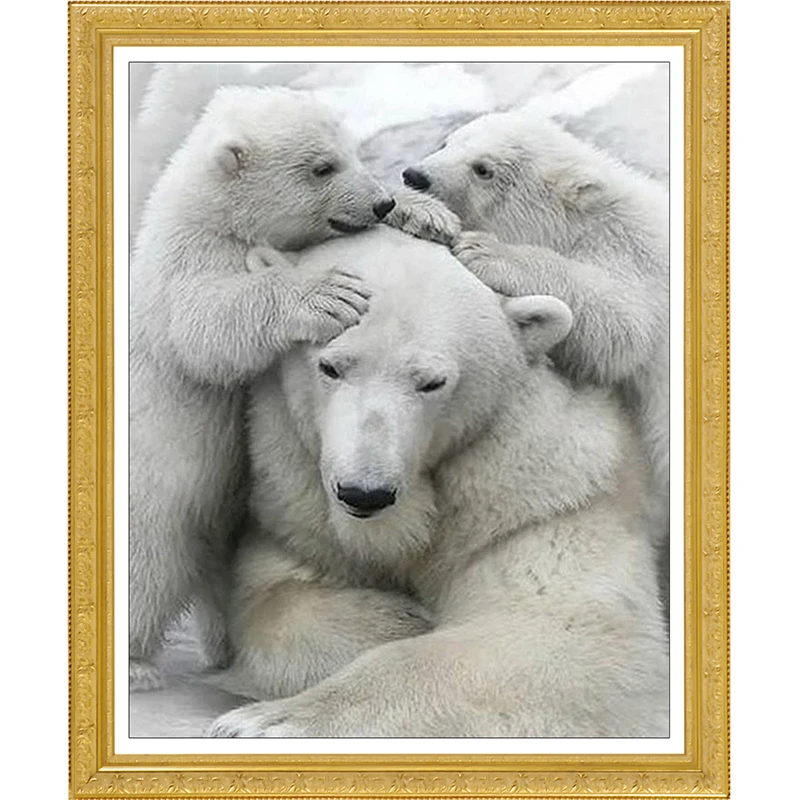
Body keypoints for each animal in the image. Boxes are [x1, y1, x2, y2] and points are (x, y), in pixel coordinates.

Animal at [128, 85, 396, 690]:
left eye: (354, 150)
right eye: (322, 167)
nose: (382, 204)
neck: (211, 212)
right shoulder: (191, 264)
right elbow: (208, 327)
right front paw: (329, 294)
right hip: (155, 494)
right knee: (148, 568)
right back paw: (136, 665)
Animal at [207, 226, 669, 737]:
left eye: (431, 382)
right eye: (329, 367)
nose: (364, 493)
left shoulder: (540, 498)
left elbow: (563, 629)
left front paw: (265, 722)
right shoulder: (298, 510)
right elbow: (274, 599)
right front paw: (407, 618)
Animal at [395, 111, 670, 550]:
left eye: (483, 169)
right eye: (447, 142)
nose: (415, 175)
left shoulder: (636, 260)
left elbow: (621, 326)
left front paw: (487, 251)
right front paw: (420, 214)